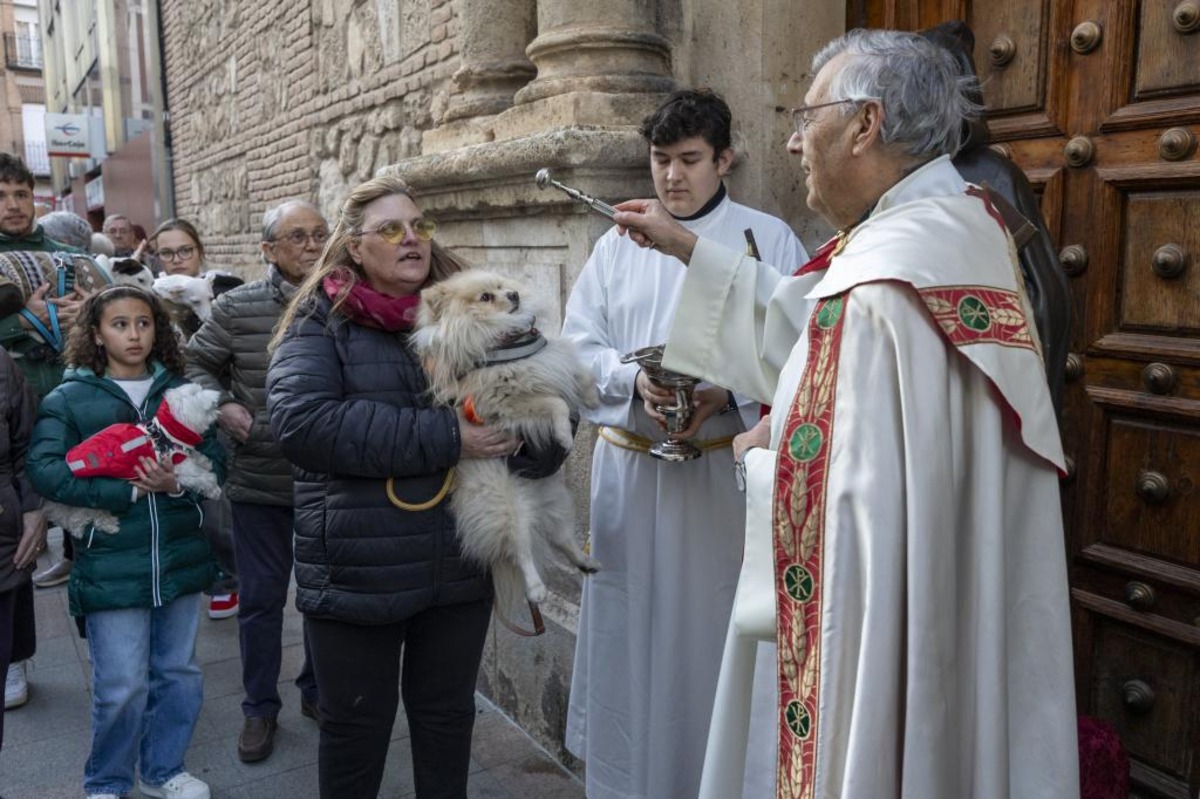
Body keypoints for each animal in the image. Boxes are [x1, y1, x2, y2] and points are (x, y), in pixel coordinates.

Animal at [43, 379, 223, 535]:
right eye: (195, 393)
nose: (217, 397)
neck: (166, 431)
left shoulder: (181, 453)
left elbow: (196, 458)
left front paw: (204, 461)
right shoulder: (177, 464)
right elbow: (204, 477)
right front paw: (214, 490)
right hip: (91, 496)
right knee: (85, 516)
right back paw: (106, 525)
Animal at [412, 271, 600, 607]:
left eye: (502, 286)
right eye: (486, 297)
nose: (514, 295)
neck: (505, 339)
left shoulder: (551, 360)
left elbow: (580, 374)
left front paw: (591, 398)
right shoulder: (510, 403)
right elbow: (556, 403)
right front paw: (564, 435)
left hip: (555, 500)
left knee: (561, 538)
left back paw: (585, 562)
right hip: (505, 506)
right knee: (520, 549)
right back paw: (536, 589)